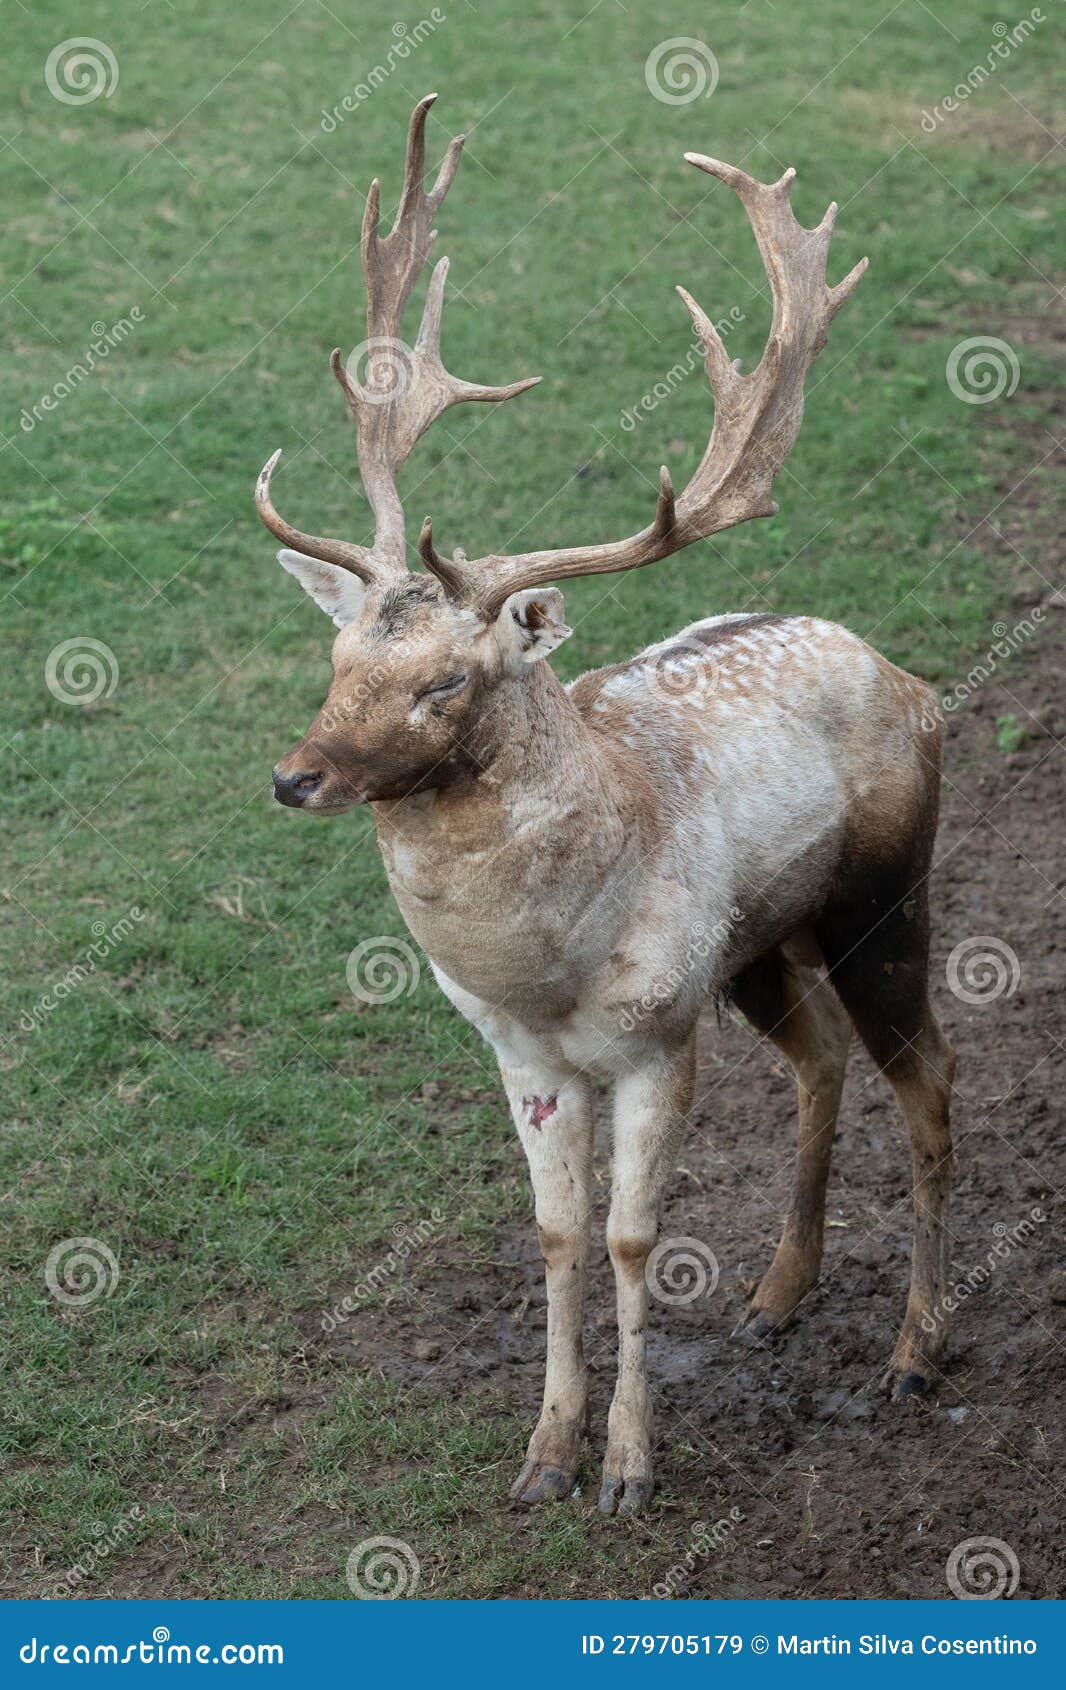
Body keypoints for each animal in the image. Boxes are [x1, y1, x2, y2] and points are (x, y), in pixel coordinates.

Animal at [258, 95, 959, 1521]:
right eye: (339, 656)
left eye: (446, 680)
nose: (297, 775)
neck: (542, 967)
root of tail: (905, 674)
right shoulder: (520, 1056)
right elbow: (557, 1231)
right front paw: (543, 1452)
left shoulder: (651, 1034)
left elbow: (635, 1236)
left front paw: (630, 1466)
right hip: (759, 945)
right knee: (819, 1055)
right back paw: (776, 1293)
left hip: (883, 896)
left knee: (931, 1080)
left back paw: (917, 1350)